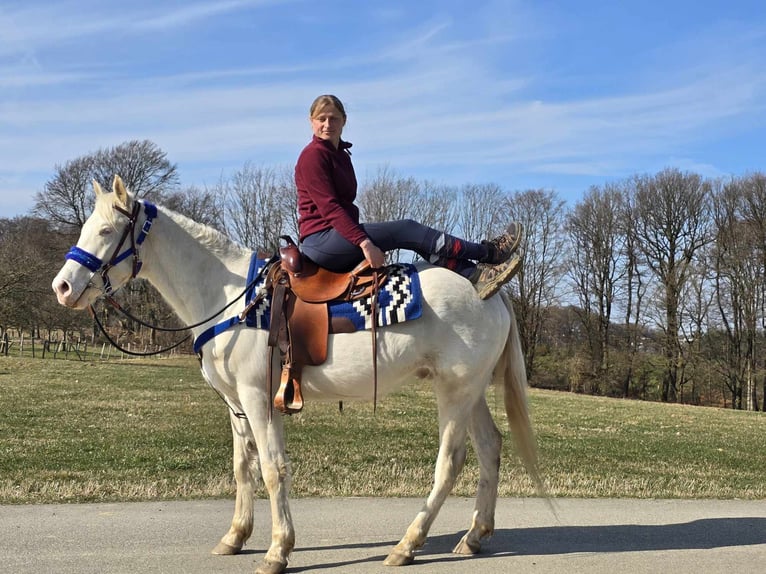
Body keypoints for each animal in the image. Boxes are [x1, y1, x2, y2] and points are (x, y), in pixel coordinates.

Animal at [52, 176, 544, 574]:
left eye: (106, 231)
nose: (62, 287)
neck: (232, 296)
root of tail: (490, 291)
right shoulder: (237, 404)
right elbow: (244, 468)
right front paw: (236, 536)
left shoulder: (258, 399)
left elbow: (273, 470)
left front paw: (277, 551)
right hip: (470, 391)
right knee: (490, 447)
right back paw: (474, 536)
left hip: (455, 392)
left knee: (450, 462)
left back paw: (408, 544)